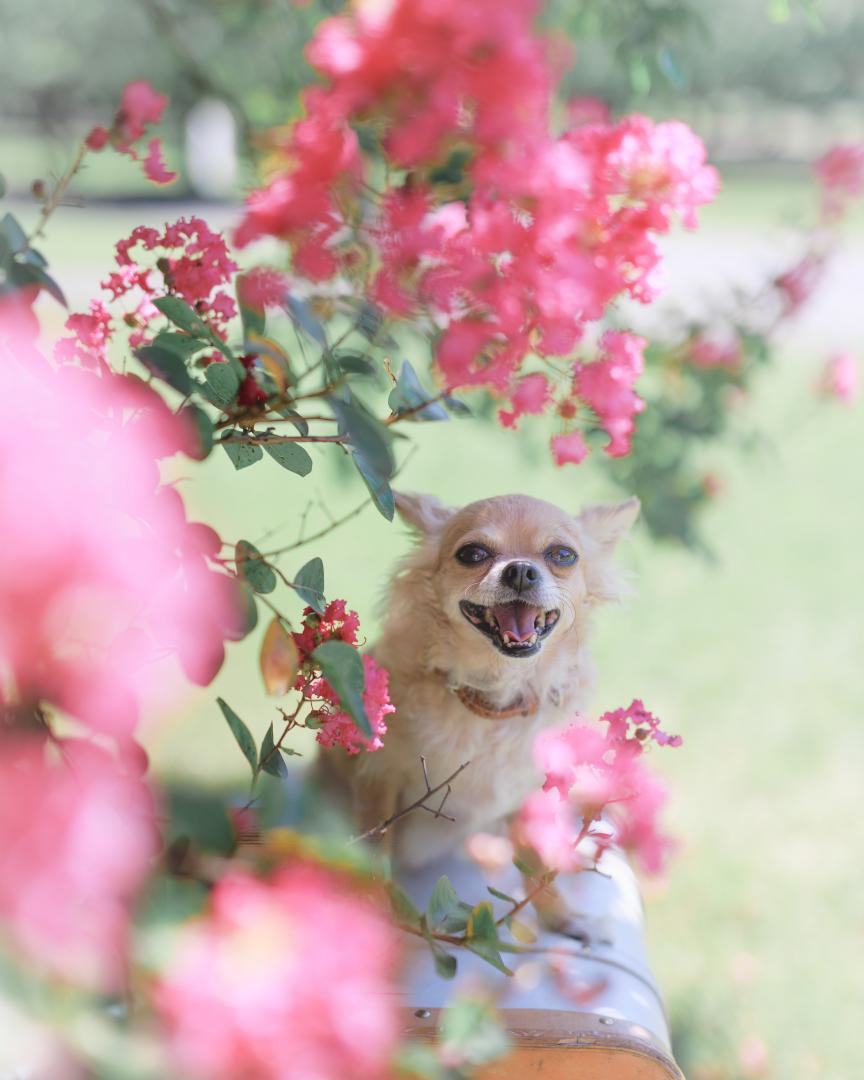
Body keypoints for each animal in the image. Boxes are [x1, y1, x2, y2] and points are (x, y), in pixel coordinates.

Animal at [328, 490, 639, 868]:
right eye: (472, 554)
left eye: (563, 555)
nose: (520, 570)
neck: (496, 698)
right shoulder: (379, 775)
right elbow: (376, 853)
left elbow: (539, 865)